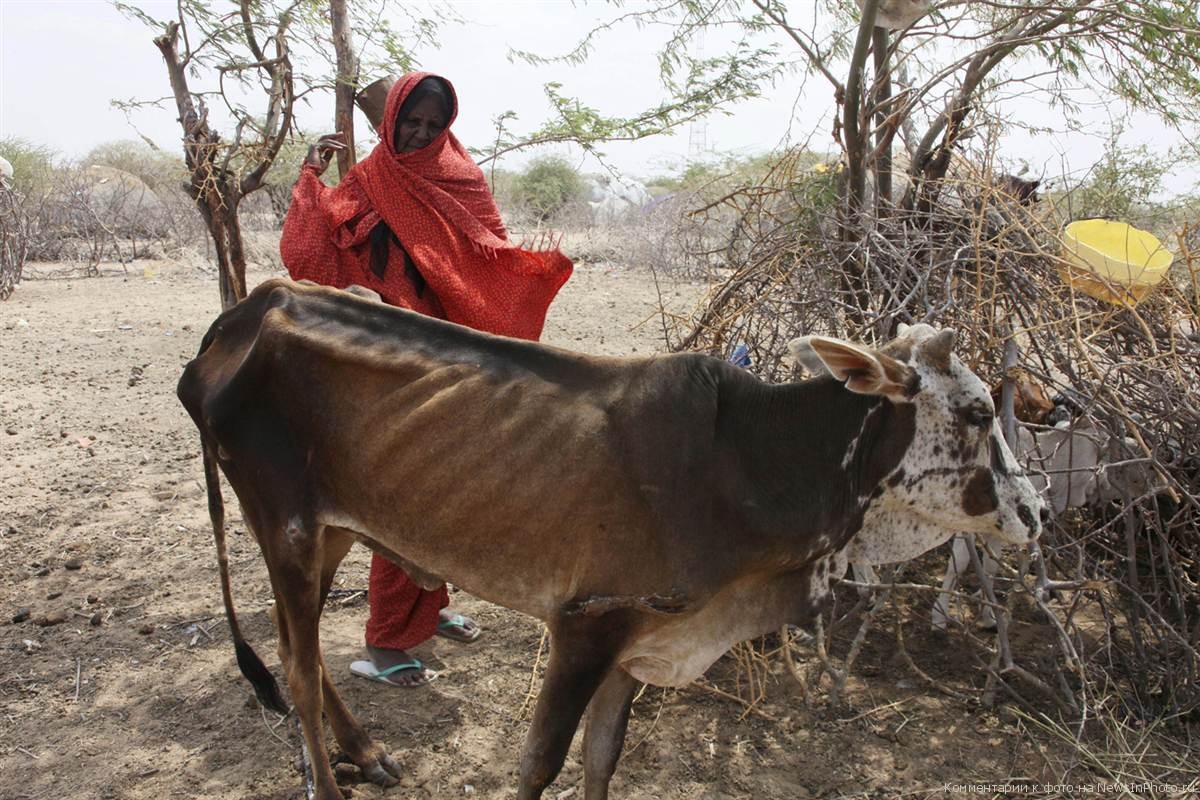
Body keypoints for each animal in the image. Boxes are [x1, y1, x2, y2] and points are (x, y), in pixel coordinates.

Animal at [174, 280, 1046, 800]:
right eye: (976, 412)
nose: (1035, 512)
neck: (748, 462)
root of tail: (250, 309)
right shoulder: (585, 626)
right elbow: (539, 765)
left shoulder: (641, 641)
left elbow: (603, 757)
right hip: (285, 525)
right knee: (294, 663)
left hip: (331, 533)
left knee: (307, 653)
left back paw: (368, 752)